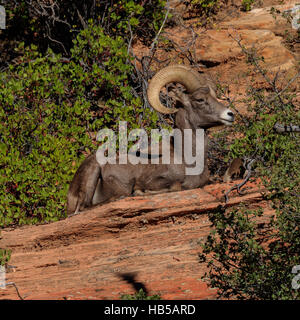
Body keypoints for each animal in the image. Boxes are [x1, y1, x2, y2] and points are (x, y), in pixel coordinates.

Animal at [67, 65, 234, 215]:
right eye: (200, 99)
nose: (230, 114)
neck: (188, 157)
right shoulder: (155, 180)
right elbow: (175, 187)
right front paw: (140, 192)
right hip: (93, 170)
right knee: (84, 208)